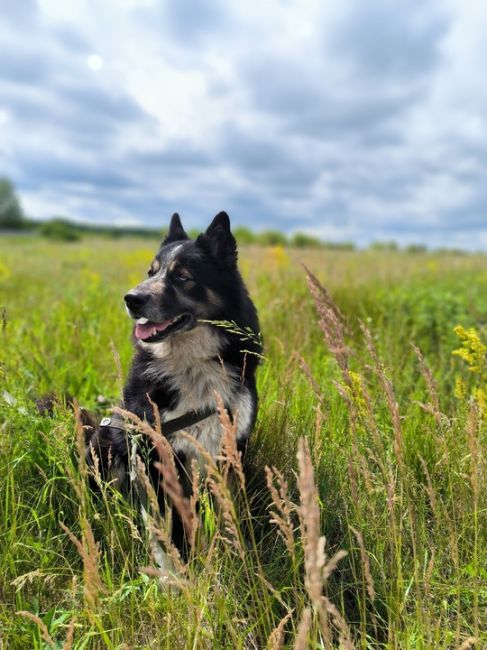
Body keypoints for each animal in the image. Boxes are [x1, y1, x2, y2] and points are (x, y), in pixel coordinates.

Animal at [87, 211, 264, 572]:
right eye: (150, 272)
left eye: (182, 277)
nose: (131, 299)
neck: (192, 365)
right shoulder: (154, 455)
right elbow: (167, 526)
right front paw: (175, 573)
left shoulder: (230, 449)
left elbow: (230, 516)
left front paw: (238, 561)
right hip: (103, 446)